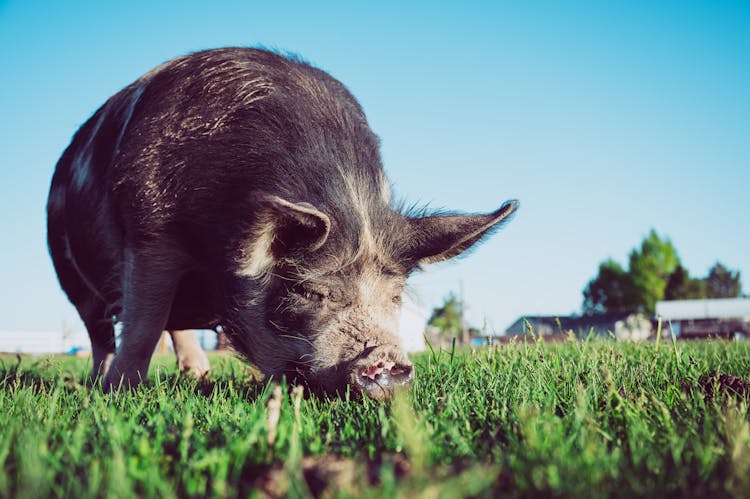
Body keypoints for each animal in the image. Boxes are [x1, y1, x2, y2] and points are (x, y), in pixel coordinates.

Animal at [45, 47, 516, 402]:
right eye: (309, 291)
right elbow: (144, 320)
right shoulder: (150, 231)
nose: (385, 361)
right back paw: (100, 383)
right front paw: (120, 394)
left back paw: (197, 376)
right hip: (69, 275)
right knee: (103, 330)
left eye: (397, 295)